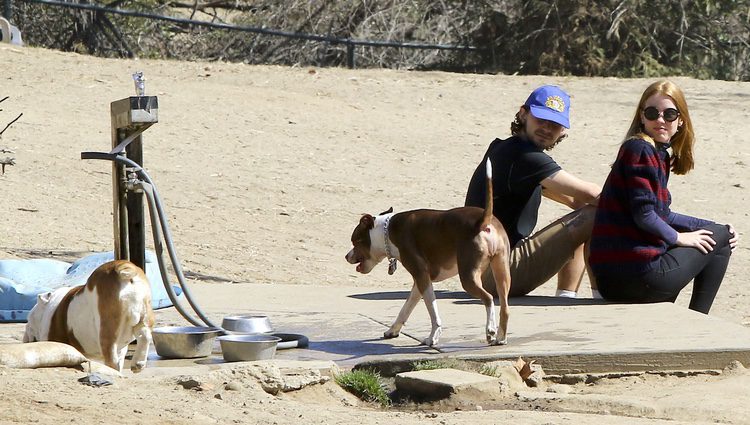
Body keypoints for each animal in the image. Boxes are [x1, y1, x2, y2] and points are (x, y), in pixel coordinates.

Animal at [23, 258, 156, 372]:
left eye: (29, 320)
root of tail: (122, 267)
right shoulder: (122, 350)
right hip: (145, 313)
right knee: (144, 336)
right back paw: (138, 363)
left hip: (107, 327)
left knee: (111, 356)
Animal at [346, 161, 512, 346]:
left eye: (355, 241)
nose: (347, 256)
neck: (387, 230)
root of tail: (483, 220)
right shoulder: (421, 281)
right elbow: (406, 308)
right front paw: (393, 330)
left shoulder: (422, 277)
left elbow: (433, 313)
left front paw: (433, 337)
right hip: (501, 271)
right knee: (504, 307)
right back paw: (500, 337)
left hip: (468, 277)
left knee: (489, 298)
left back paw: (490, 330)